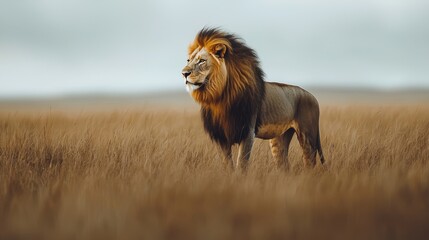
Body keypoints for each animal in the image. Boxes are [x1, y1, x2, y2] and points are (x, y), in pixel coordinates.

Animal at [181, 27, 324, 171]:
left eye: (201, 61)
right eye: (188, 60)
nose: (184, 73)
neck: (219, 97)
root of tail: (313, 96)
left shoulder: (247, 131)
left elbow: (241, 164)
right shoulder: (220, 135)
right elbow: (227, 165)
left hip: (307, 135)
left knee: (310, 161)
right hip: (279, 138)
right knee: (284, 165)